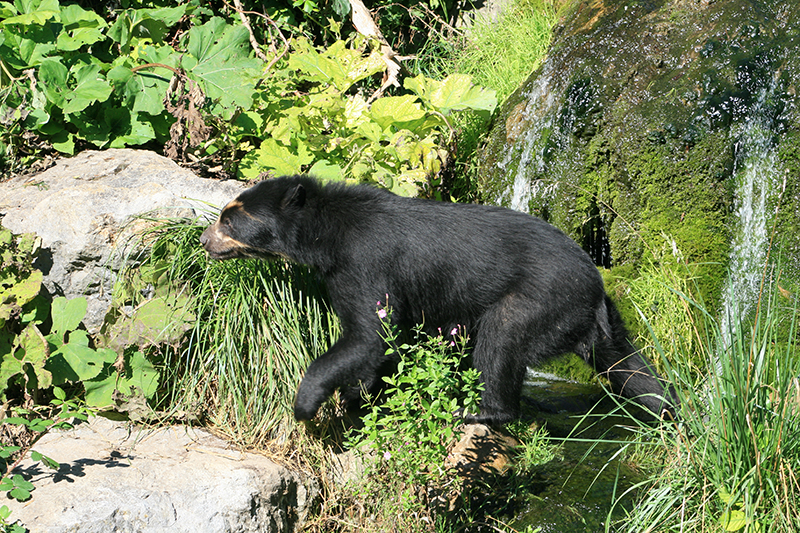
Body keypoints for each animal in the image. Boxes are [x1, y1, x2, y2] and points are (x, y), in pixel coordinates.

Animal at [200, 175, 675, 425]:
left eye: (230, 219)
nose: (205, 241)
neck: (327, 235)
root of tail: (594, 284)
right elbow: (380, 347)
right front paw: (360, 398)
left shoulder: (365, 264)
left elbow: (370, 333)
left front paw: (306, 403)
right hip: (601, 321)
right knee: (627, 365)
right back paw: (668, 408)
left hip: (538, 300)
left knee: (500, 343)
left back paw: (481, 411)